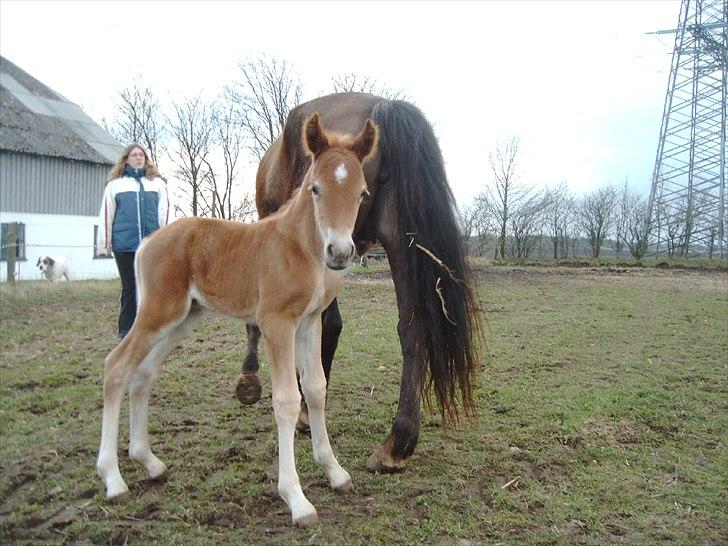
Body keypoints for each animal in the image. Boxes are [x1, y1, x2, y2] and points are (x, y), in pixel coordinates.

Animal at [96, 113, 378, 524]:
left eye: (362, 193)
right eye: (315, 189)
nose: (339, 253)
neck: (301, 246)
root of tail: (149, 241)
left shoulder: (311, 321)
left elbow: (316, 389)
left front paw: (335, 472)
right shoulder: (277, 322)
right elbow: (287, 399)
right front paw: (296, 498)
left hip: (183, 318)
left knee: (143, 374)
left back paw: (148, 461)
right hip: (157, 312)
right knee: (116, 366)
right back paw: (112, 478)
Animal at [236, 91, 480, 470]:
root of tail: (383, 107)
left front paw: (251, 381)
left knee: (330, 322)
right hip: (397, 240)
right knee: (411, 329)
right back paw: (397, 442)